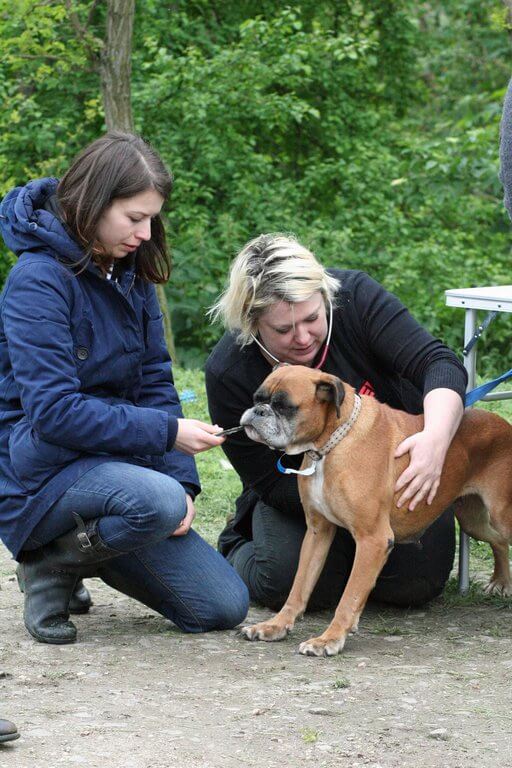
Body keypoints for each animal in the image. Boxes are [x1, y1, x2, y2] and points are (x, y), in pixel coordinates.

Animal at [239, 365, 512, 657]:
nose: (258, 411)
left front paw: (329, 638)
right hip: (474, 520)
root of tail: (503, 424)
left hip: (500, 515)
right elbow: (299, 586)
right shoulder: (317, 532)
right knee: (498, 541)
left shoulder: (373, 540)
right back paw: (501, 581)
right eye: (257, 398)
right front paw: (276, 625)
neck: (331, 443)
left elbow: (349, 597)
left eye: (284, 406)